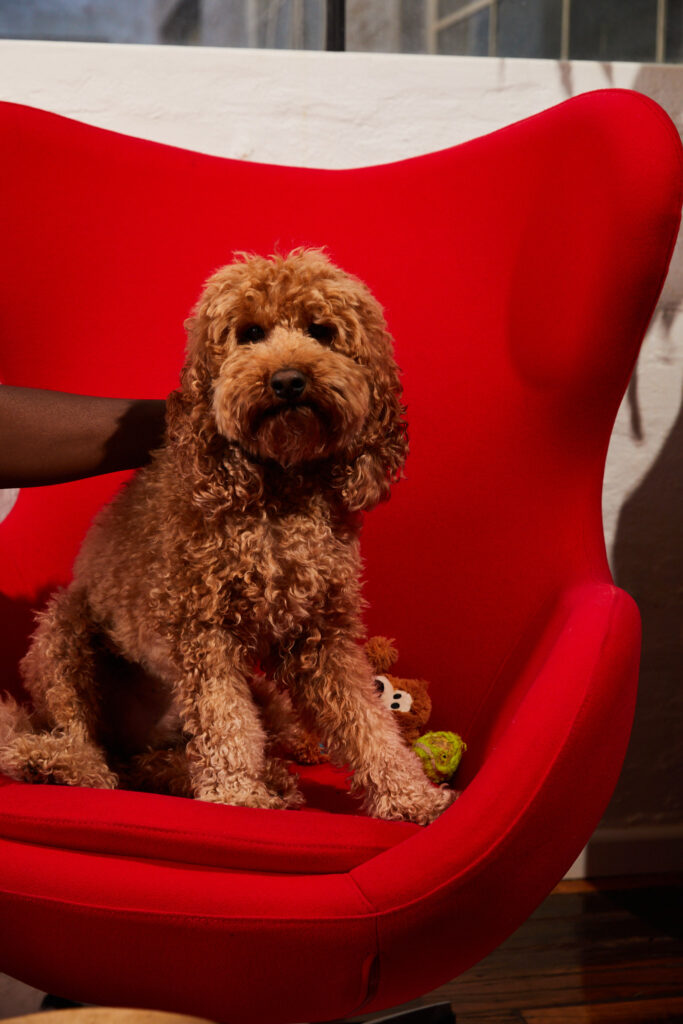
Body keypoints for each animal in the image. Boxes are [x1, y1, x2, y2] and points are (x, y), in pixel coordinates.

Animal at [2, 251, 456, 827]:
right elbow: (225, 719)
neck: (280, 489)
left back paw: (255, 771)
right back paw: (61, 764)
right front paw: (237, 793)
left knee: (156, 758)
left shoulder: (321, 636)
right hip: (63, 635)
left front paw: (409, 793)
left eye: (322, 331)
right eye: (250, 333)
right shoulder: (203, 628)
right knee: (73, 738)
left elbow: (365, 719)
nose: (288, 381)